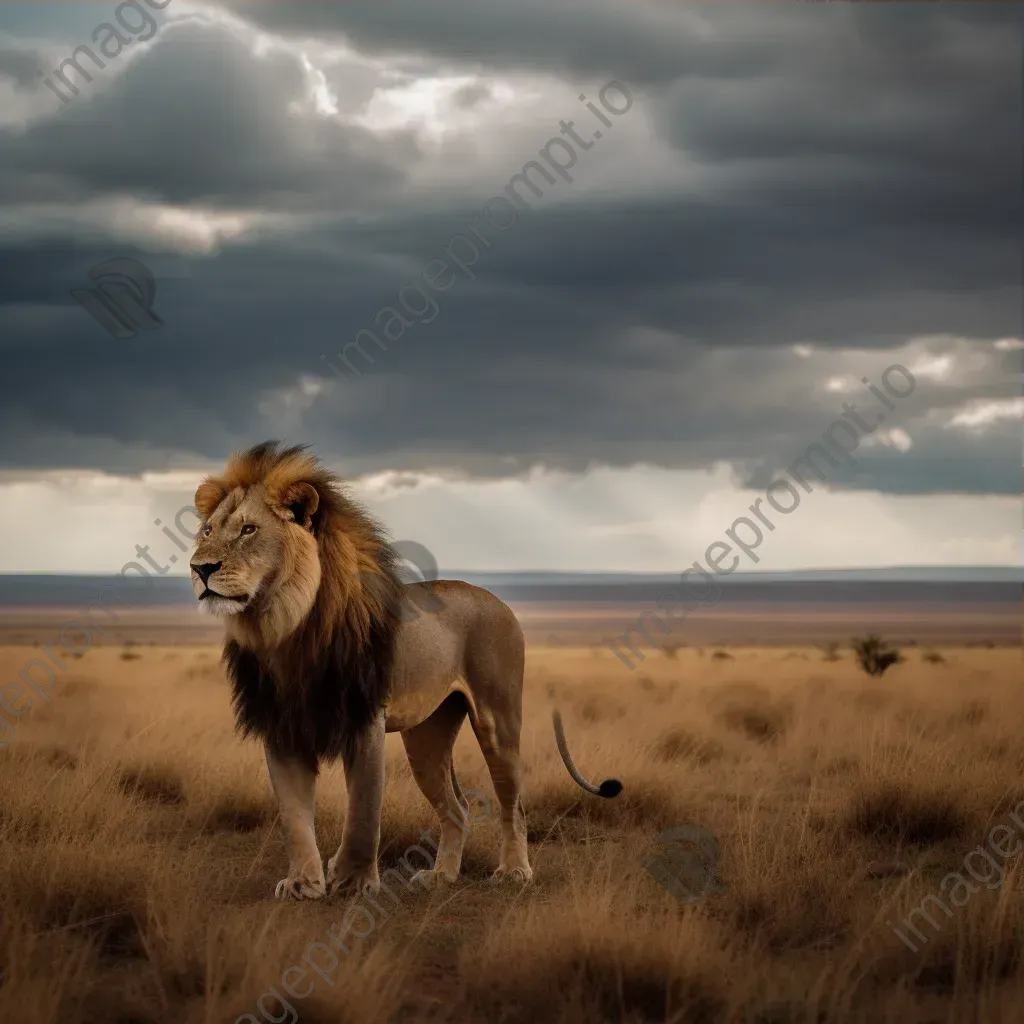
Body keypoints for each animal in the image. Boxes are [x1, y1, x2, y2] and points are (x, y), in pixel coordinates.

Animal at [189, 440, 618, 897]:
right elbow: (294, 817)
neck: (287, 626)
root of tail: (497, 600)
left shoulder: (364, 720)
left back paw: (515, 872)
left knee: (513, 803)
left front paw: (353, 881)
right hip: (427, 735)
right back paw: (441, 876)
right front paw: (304, 883)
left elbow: (363, 812)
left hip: (497, 718)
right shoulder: (283, 726)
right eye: (208, 531)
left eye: (249, 530)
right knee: (457, 808)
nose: (200, 568)